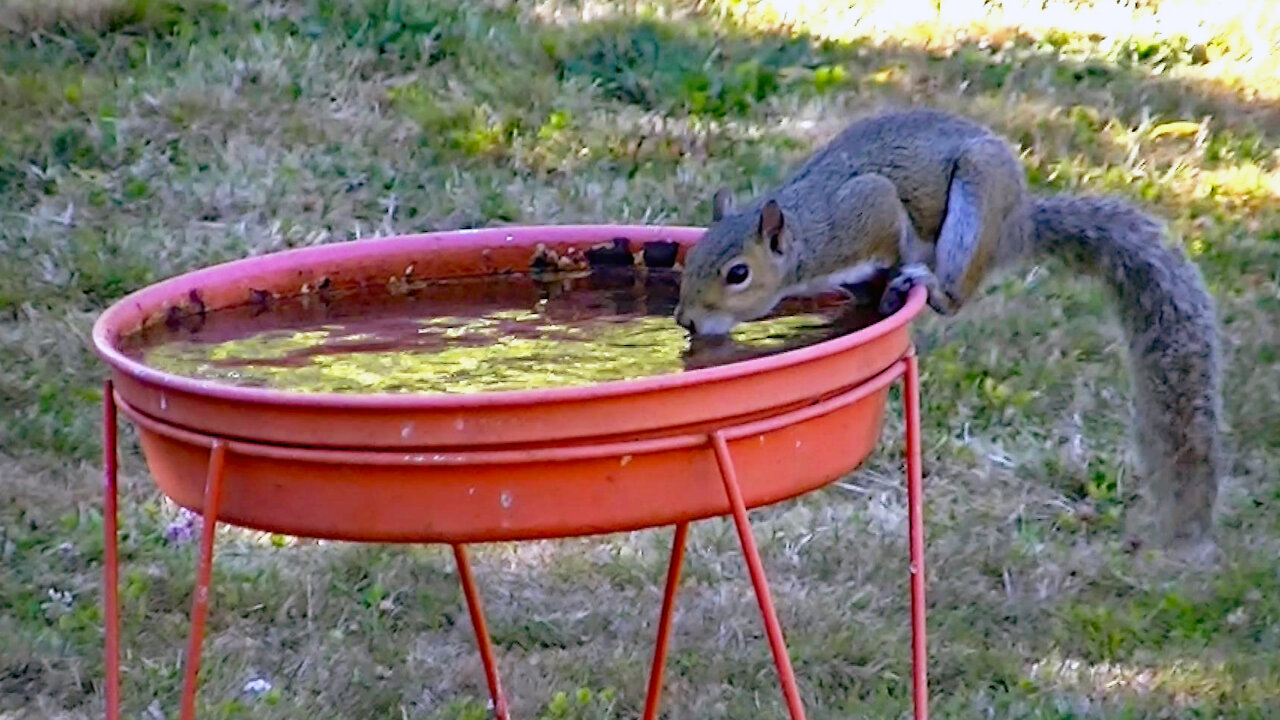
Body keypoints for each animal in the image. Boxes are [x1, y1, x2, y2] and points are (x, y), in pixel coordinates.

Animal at [675, 109, 1223, 550]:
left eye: (738, 273)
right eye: (694, 257)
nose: (686, 320)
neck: (811, 239)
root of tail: (1015, 224)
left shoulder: (871, 210)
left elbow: (894, 234)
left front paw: (891, 282)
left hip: (974, 203)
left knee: (956, 293)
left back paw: (928, 284)